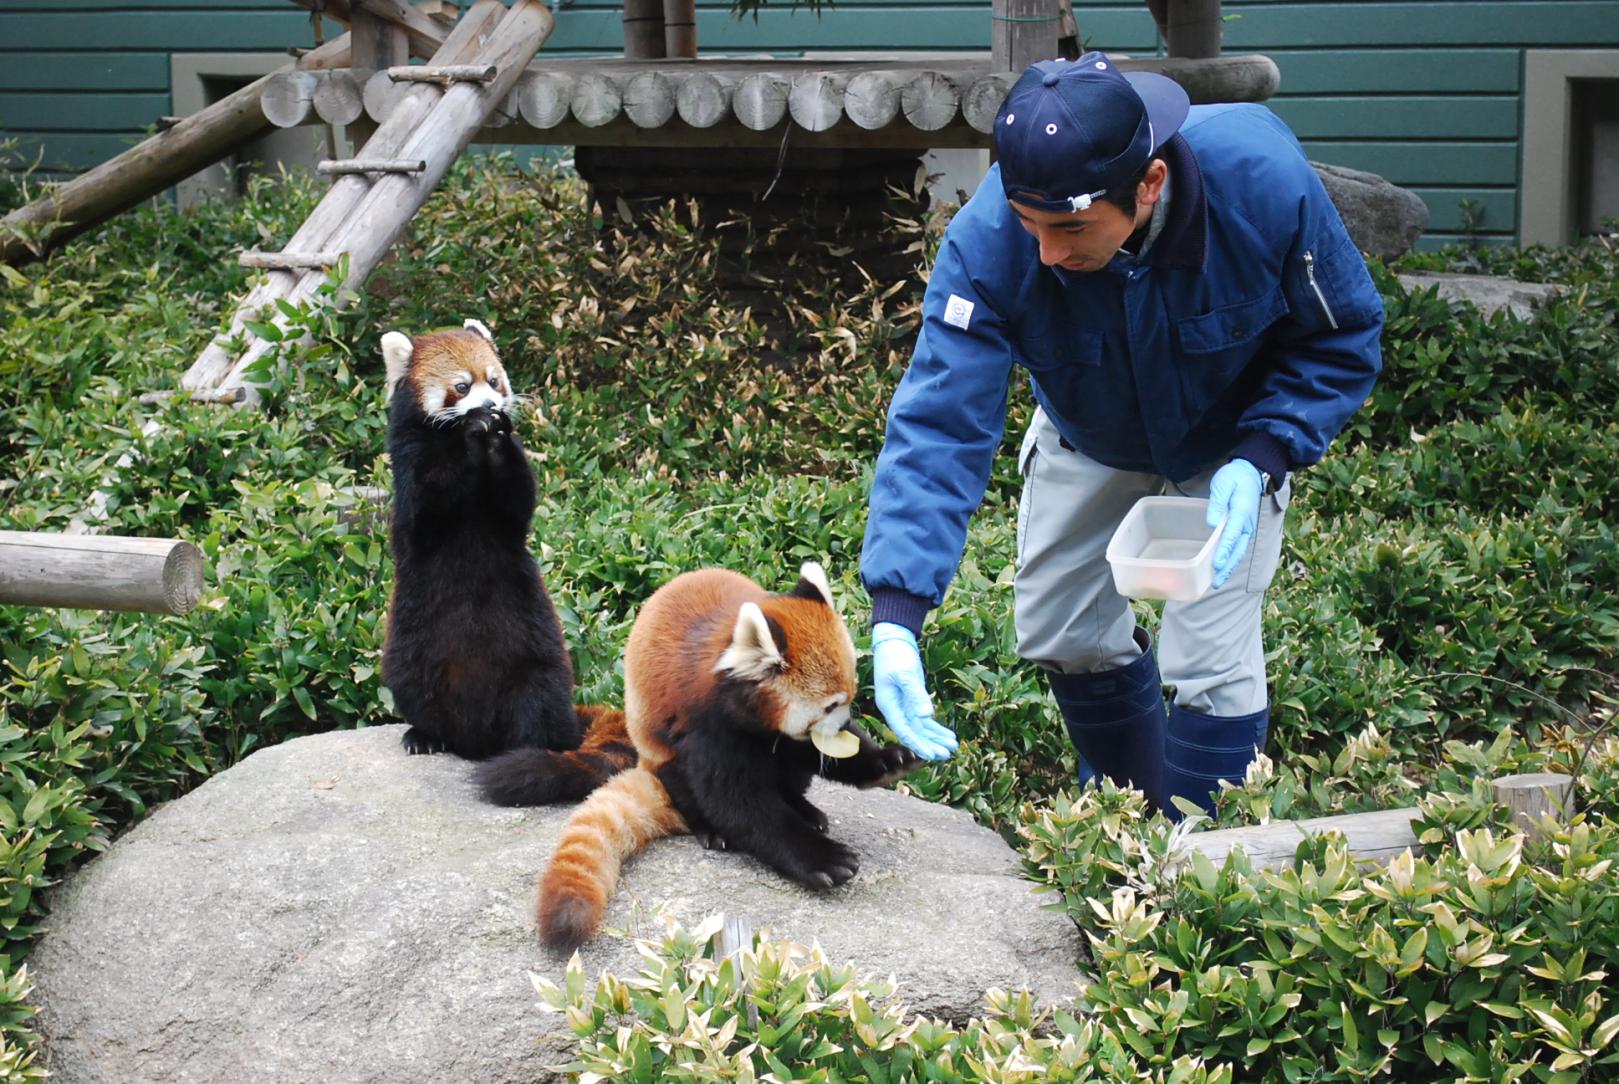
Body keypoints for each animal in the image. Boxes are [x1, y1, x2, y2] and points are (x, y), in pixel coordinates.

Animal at [378, 320, 582, 763]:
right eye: (461, 386)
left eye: (493, 380)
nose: (491, 405)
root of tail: (476, 737)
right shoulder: (411, 468)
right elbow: (429, 509)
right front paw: (474, 432)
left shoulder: (509, 507)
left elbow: (517, 499)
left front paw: (497, 434)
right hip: (409, 651)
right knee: (412, 688)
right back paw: (426, 735)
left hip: (538, 654)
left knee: (542, 695)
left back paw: (538, 745)